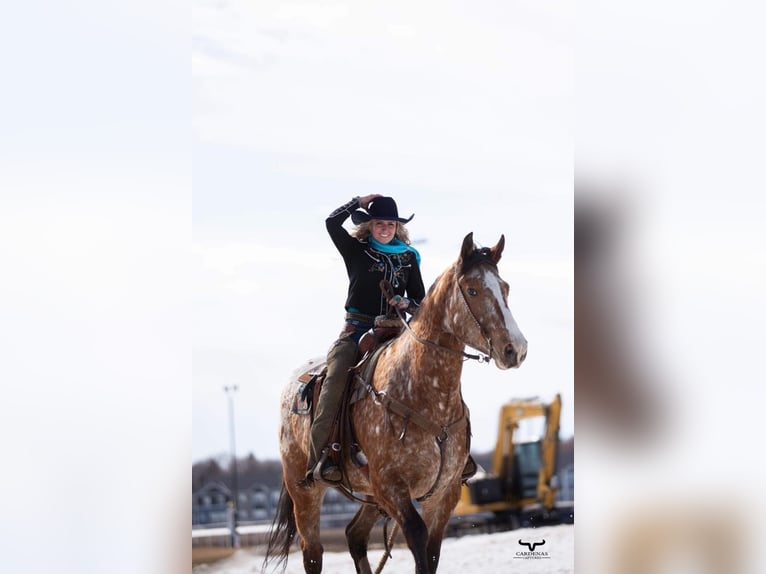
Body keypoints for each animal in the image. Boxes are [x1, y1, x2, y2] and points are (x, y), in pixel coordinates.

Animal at [264, 233, 528, 574]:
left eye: (504, 287)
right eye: (472, 289)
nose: (516, 349)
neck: (428, 397)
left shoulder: (444, 492)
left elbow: (430, 552)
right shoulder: (391, 486)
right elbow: (416, 537)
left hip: (370, 497)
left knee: (354, 535)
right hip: (305, 490)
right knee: (313, 553)